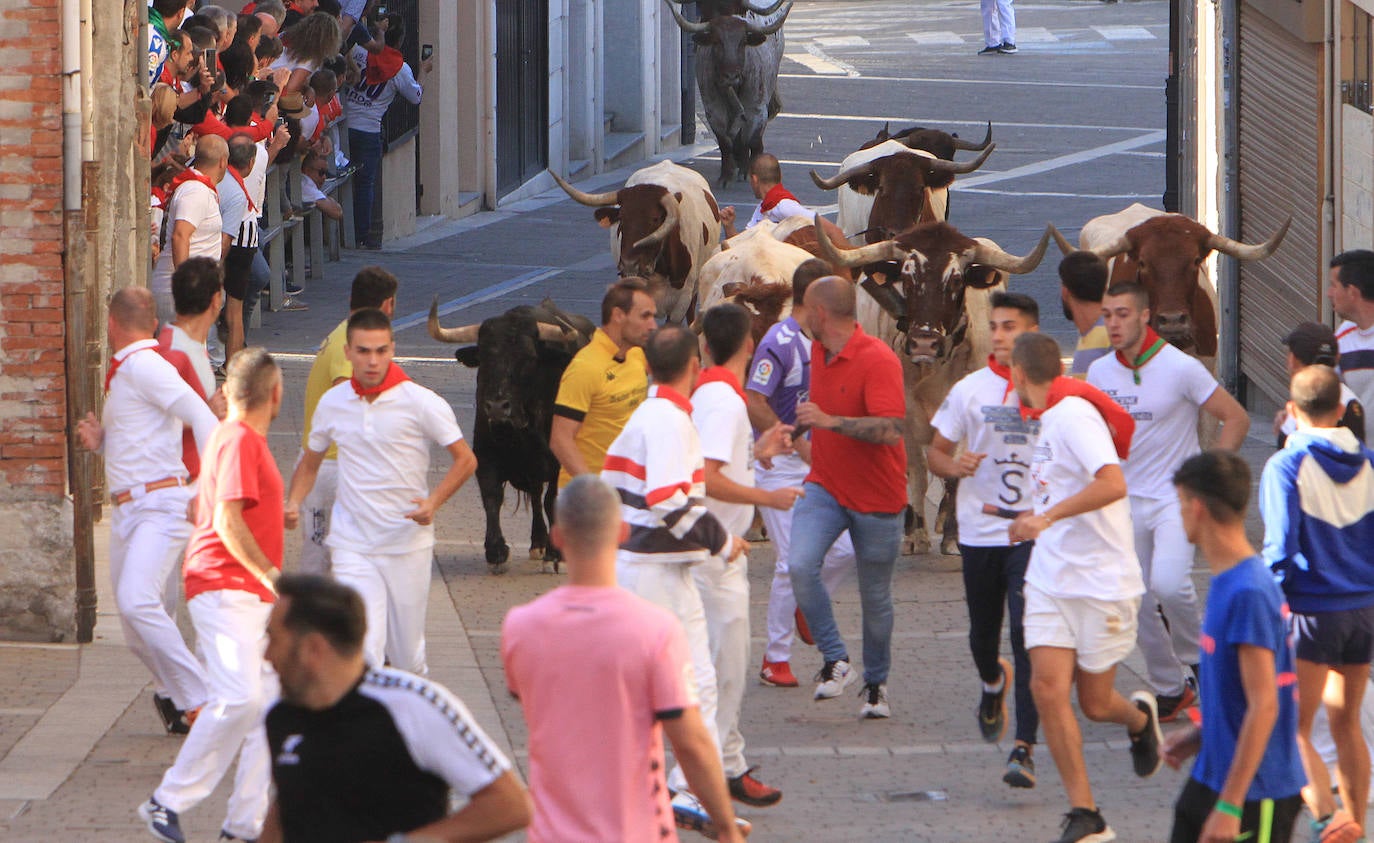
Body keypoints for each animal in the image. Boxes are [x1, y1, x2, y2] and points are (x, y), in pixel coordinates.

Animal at [425, 297, 593, 573]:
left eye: (528, 357)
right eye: (484, 356)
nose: (496, 406)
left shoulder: (559, 460)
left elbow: (553, 499)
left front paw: (555, 555)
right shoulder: (485, 454)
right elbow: (492, 495)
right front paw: (496, 551)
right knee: (534, 495)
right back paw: (537, 542)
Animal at [813, 219, 1049, 554]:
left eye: (956, 280)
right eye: (907, 278)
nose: (924, 342)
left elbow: (955, 470)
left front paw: (952, 536)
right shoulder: (904, 409)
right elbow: (916, 469)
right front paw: (916, 534)